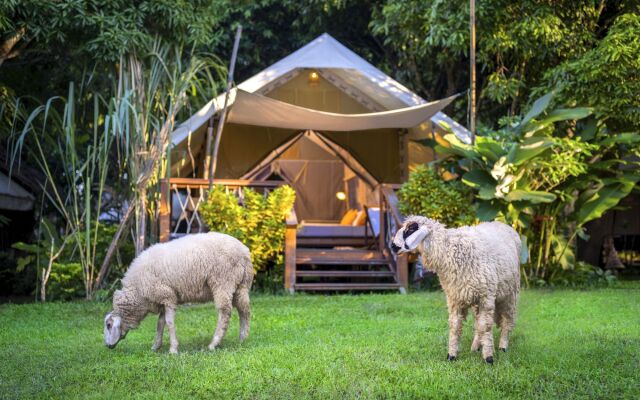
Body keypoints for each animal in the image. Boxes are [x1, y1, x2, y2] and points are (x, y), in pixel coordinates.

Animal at [102, 231, 252, 354]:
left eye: (109, 325)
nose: (108, 346)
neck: (138, 292)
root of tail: (244, 252)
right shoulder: (162, 300)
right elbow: (160, 324)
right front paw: (156, 346)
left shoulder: (168, 297)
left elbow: (169, 323)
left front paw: (173, 349)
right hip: (241, 286)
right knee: (244, 310)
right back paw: (243, 338)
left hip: (223, 282)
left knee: (225, 312)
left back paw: (214, 343)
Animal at [390, 217, 520, 364]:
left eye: (411, 229)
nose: (393, 246)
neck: (449, 251)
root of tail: (500, 223)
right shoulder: (454, 298)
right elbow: (455, 326)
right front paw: (451, 355)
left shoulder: (486, 297)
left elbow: (485, 326)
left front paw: (488, 357)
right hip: (476, 299)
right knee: (478, 323)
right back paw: (475, 346)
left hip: (510, 293)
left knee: (507, 320)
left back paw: (503, 346)